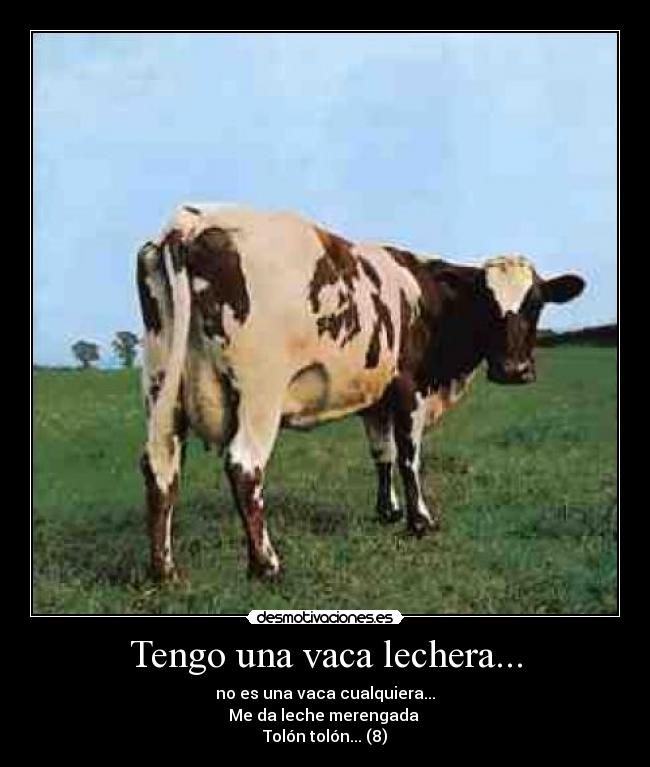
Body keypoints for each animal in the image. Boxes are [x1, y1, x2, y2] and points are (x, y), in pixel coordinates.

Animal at [136, 204, 585, 581]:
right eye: (486, 302)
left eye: (536, 303)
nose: (513, 370)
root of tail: (194, 220)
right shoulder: (408, 389)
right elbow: (409, 457)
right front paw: (420, 521)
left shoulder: (375, 397)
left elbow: (381, 453)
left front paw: (388, 511)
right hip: (260, 392)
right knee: (244, 466)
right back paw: (266, 564)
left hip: (161, 384)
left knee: (160, 464)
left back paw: (163, 569)